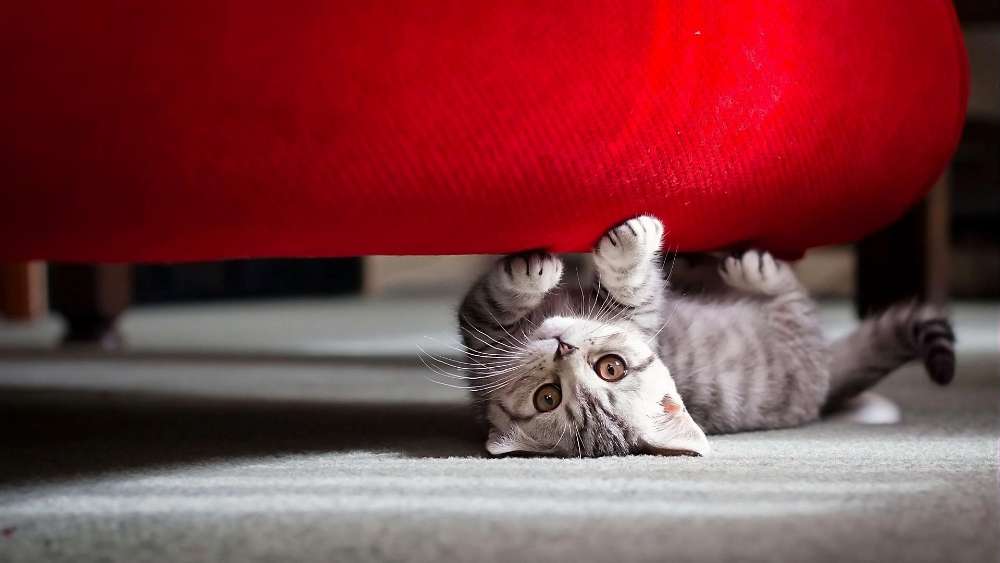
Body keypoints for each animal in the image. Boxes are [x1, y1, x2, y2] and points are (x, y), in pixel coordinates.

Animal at [448, 216, 952, 458]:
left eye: (611, 368)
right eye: (548, 398)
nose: (563, 347)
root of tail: (823, 381)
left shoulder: (644, 314)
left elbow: (632, 286)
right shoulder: (481, 338)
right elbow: (493, 302)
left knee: (790, 297)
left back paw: (746, 267)